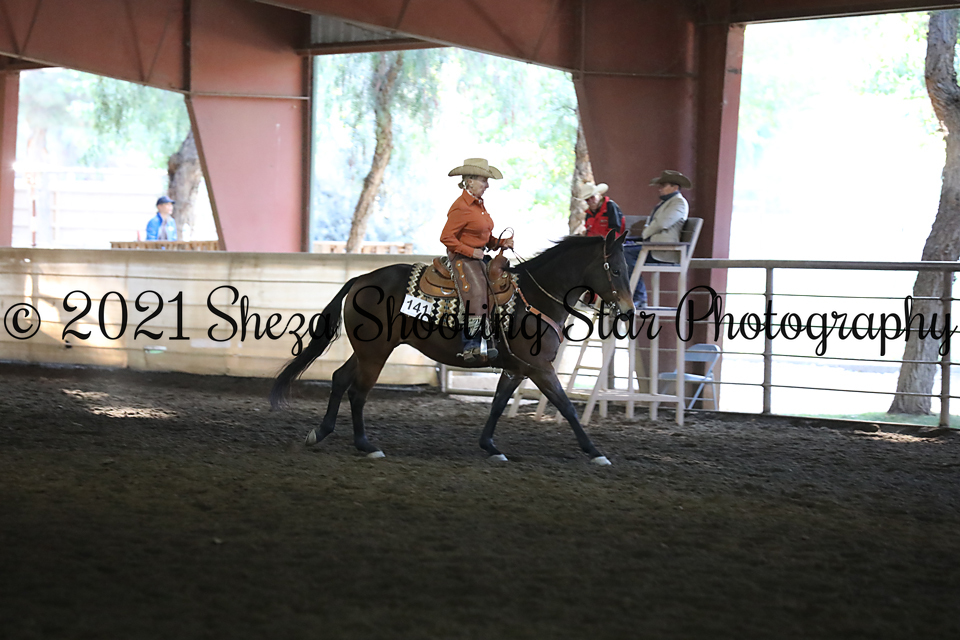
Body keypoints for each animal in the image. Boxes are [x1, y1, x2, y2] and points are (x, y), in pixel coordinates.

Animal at [270, 229, 634, 465]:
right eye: (616, 269)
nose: (629, 311)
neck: (536, 297)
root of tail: (360, 279)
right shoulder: (540, 368)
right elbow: (566, 406)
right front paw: (595, 452)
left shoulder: (516, 368)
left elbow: (498, 403)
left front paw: (490, 446)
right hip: (375, 352)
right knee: (358, 392)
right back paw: (365, 445)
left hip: (367, 351)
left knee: (340, 379)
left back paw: (321, 432)